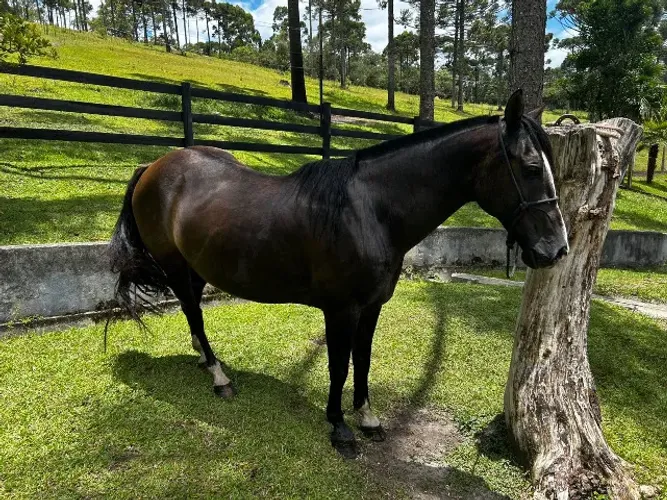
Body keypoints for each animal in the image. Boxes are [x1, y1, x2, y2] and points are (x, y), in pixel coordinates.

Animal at [108, 89, 569, 458]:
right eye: (531, 167)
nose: (557, 249)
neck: (370, 212)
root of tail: (154, 165)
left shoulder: (371, 307)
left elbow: (362, 361)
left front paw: (367, 418)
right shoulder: (340, 310)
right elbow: (339, 367)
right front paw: (340, 428)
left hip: (197, 265)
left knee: (194, 316)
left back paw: (208, 362)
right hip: (174, 265)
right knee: (193, 313)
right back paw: (220, 377)